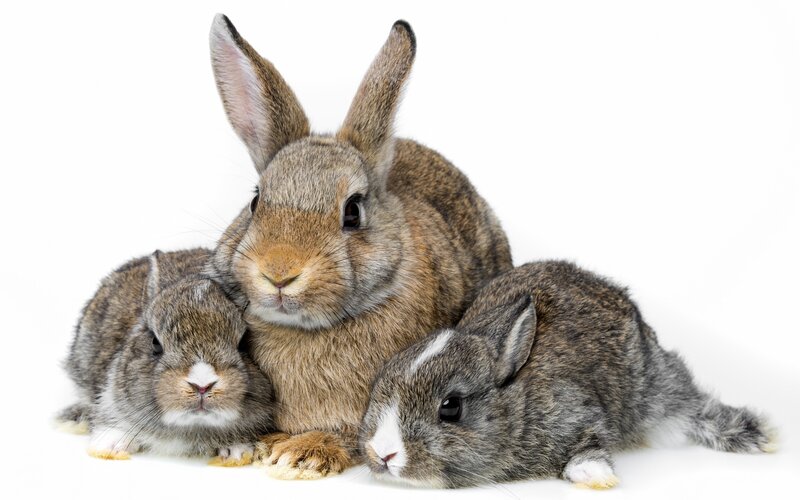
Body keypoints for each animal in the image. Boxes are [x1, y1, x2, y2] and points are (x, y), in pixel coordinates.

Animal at [360, 261, 777, 488]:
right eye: (379, 383)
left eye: (451, 407)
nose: (382, 453)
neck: (518, 404)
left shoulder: (581, 413)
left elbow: (589, 444)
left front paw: (597, 477)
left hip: (655, 391)